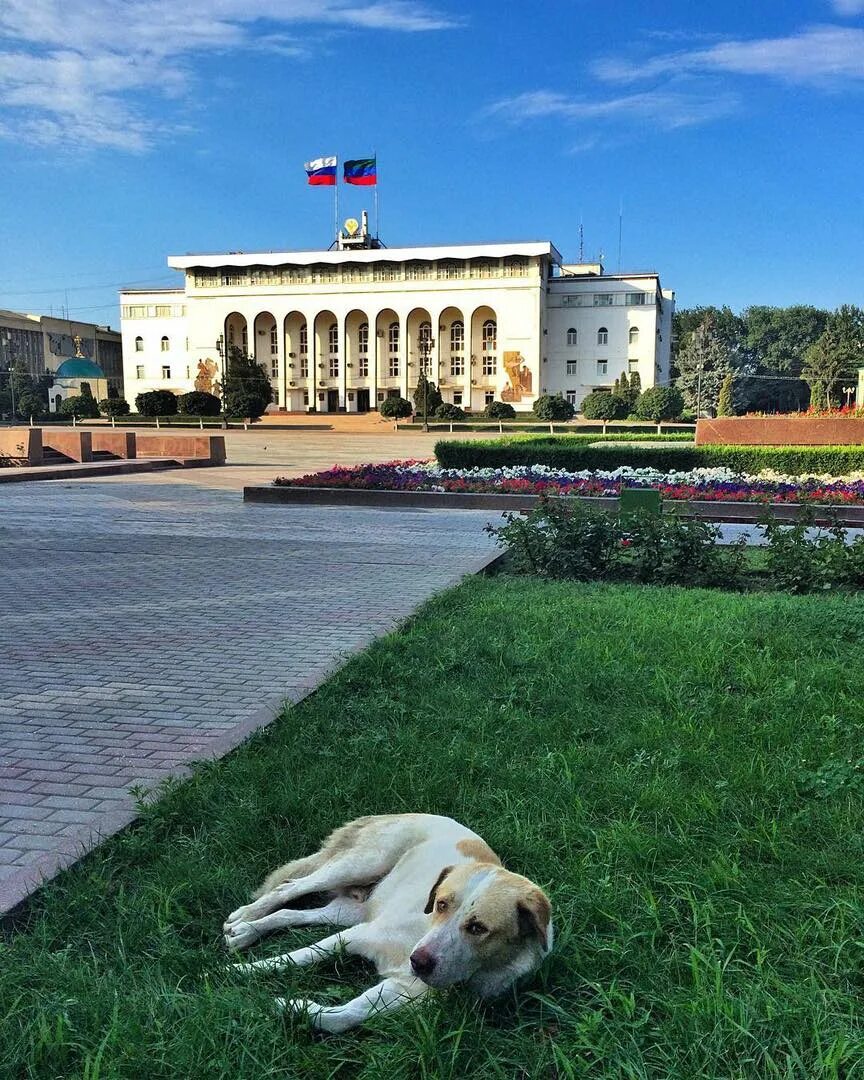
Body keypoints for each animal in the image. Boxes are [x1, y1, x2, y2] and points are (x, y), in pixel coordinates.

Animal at [227, 812, 552, 1032]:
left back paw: (246, 932)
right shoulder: (357, 936)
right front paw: (243, 971)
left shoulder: (404, 991)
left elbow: (346, 1016)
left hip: (350, 909)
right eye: (441, 904)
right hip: (359, 866)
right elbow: (296, 957)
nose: (417, 962)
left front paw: (293, 1009)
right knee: (288, 888)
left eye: (478, 928)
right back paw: (244, 920)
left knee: (292, 914)